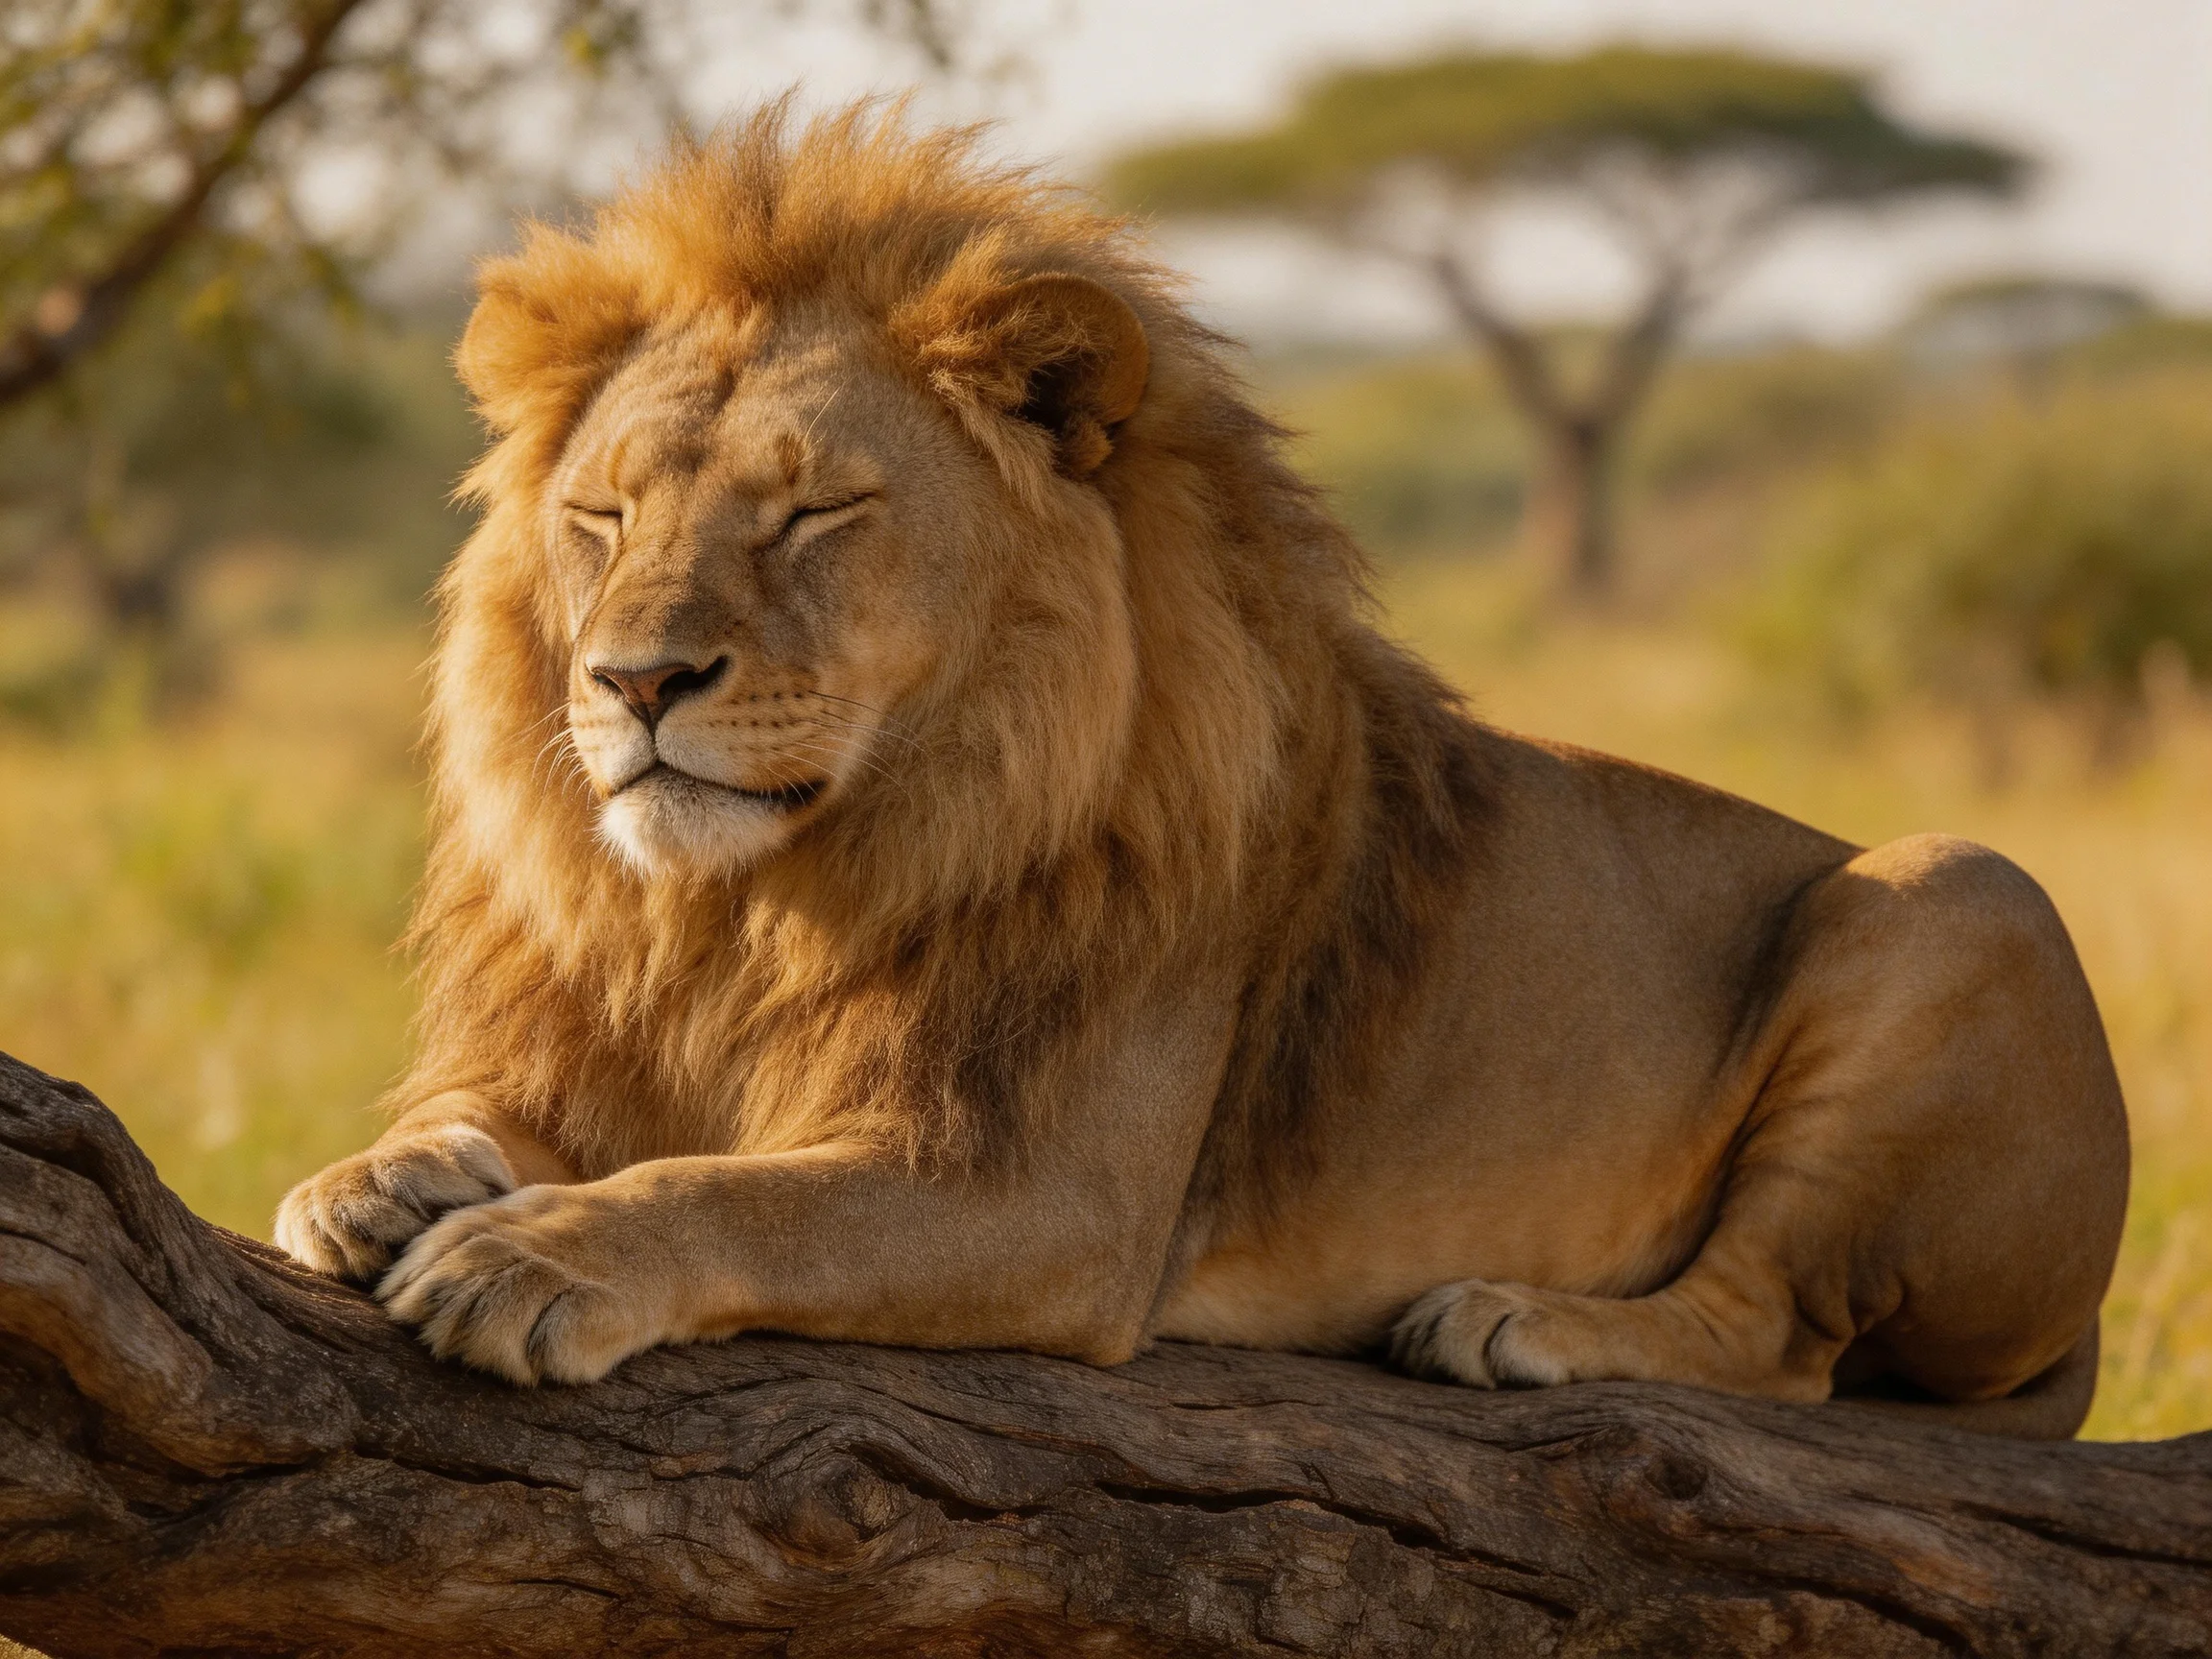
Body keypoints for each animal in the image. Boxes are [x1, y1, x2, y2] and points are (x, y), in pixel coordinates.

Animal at [274, 103, 2128, 1439]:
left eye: (816, 512)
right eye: (601, 517)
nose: (634, 680)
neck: (751, 909)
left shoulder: (1052, 1194)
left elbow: (736, 1194)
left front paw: (533, 1251)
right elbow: (480, 1115)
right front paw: (378, 1180)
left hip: (1959, 889)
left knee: (1782, 1333)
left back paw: (1507, 1322)